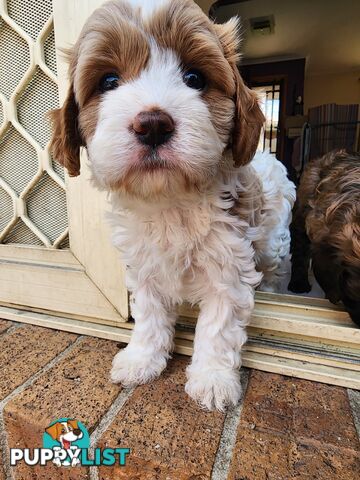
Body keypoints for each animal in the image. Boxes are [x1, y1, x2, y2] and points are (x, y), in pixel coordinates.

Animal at [50, 0, 296, 412]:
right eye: (109, 81)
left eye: (194, 78)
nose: (152, 124)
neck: (170, 200)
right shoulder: (143, 266)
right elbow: (149, 315)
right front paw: (141, 359)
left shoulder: (228, 267)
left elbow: (218, 327)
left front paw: (213, 379)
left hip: (274, 245)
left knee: (276, 271)